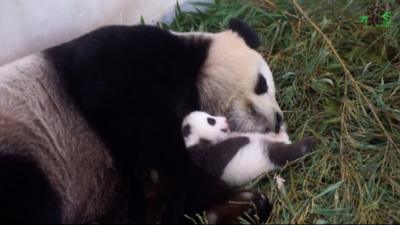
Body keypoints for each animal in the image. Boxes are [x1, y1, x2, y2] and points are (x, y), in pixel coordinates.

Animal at [1, 18, 286, 223]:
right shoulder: (119, 59)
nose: (279, 119)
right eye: (262, 84)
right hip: (26, 153)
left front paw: (245, 205)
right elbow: (144, 129)